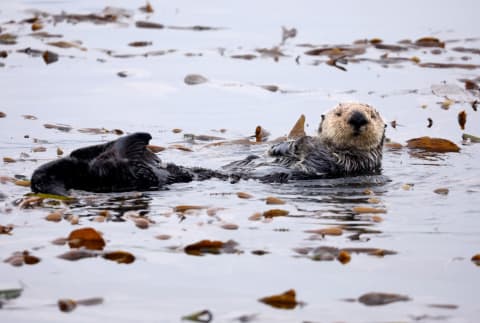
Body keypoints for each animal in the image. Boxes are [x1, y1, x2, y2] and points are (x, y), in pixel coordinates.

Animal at [31, 103, 386, 195]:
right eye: (339, 112)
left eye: (372, 114)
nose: (357, 118)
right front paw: (282, 145)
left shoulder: (353, 163)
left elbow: (318, 155)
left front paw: (298, 143)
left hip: (136, 174)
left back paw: (135, 141)